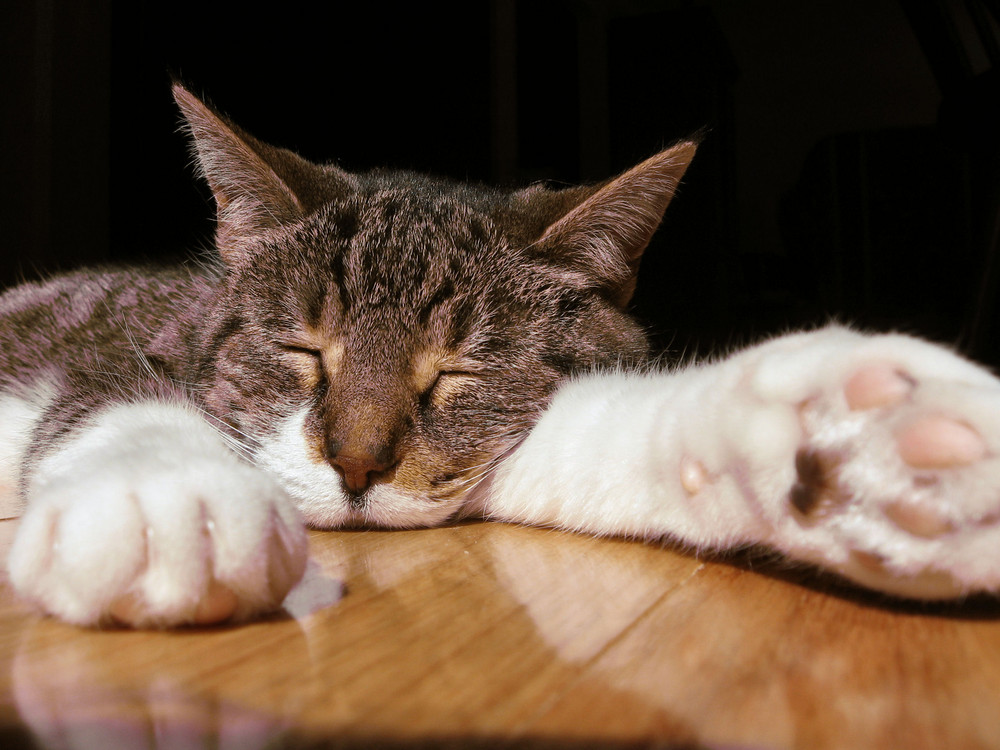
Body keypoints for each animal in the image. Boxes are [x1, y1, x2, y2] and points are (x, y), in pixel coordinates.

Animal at [1, 85, 1000, 632]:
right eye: (301, 349)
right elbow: (110, 389)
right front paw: (167, 502)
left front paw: (863, 445)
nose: (356, 465)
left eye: (458, 371)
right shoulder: (122, 331)